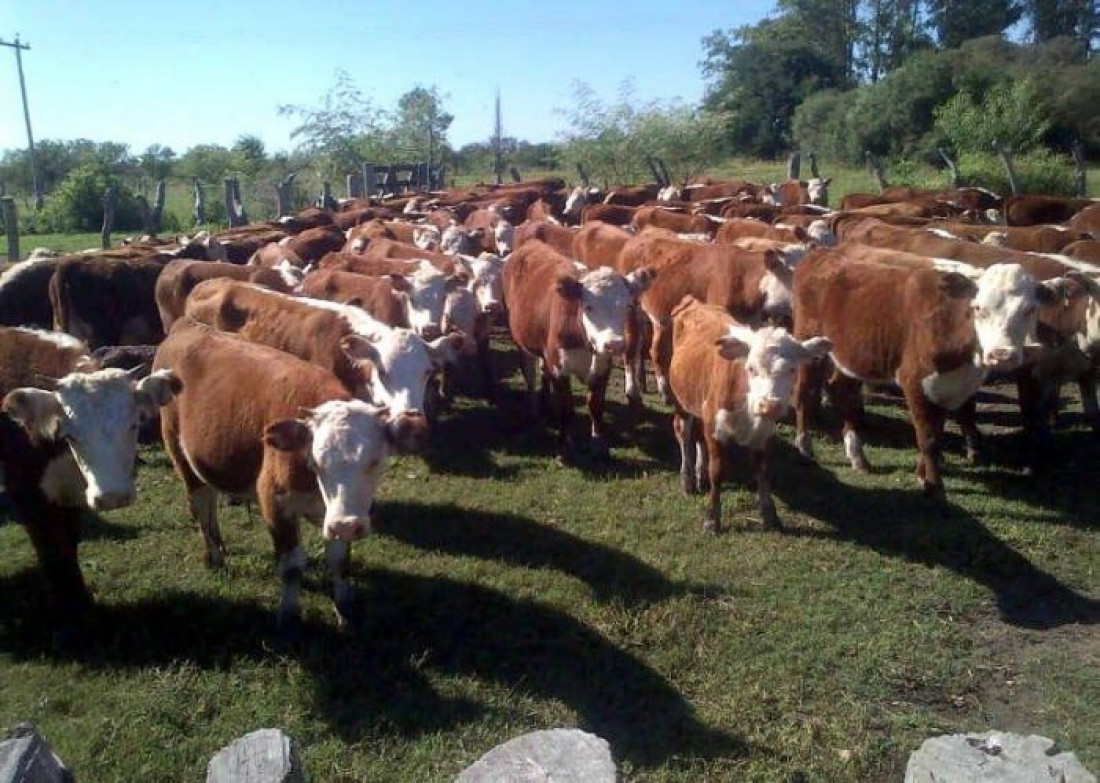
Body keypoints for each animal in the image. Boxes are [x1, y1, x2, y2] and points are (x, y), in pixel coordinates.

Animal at [0, 325, 178, 637]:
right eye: (71, 434)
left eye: (134, 424)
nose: (113, 496)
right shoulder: (26, 494)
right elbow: (53, 551)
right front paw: (73, 616)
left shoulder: (71, 494)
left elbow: (68, 545)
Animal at [157, 318, 422, 629]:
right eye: (316, 462)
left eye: (376, 462)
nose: (347, 525)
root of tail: (188, 326)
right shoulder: (274, 502)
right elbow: (292, 566)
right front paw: (290, 613)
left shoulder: (339, 513)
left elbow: (340, 561)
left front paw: (344, 608)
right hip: (179, 453)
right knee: (201, 503)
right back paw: (214, 557)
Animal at [503, 238, 651, 459]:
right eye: (588, 307)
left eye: (627, 306)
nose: (614, 344)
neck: (584, 344)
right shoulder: (559, 368)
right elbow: (566, 409)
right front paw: (564, 448)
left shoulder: (602, 366)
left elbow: (596, 406)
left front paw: (599, 444)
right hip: (522, 342)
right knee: (529, 374)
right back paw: (533, 408)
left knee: (542, 370)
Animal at [664, 296, 827, 530]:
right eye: (750, 368)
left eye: (792, 369)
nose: (770, 406)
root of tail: (695, 302)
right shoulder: (716, 428)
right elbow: (718, 472)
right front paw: (712, 518)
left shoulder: (764, 434)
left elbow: (762, 471)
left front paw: (770, 515)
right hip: (680, 399)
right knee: (683, 433)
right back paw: (687, 480)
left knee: (699, 438)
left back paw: (699, 475)